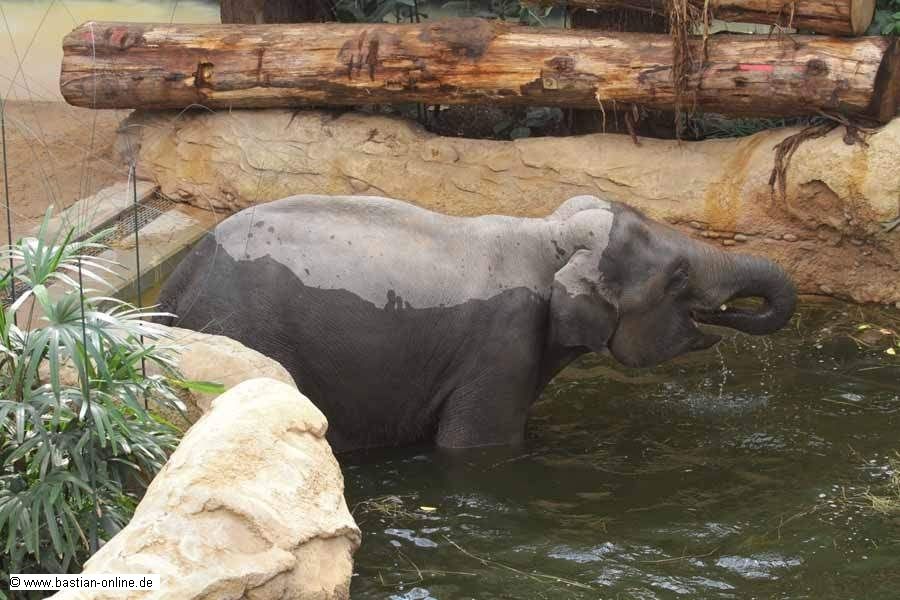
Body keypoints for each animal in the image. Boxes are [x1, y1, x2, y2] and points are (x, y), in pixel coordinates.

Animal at [156, 194, 796, 452]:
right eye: (680, 276)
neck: (546, 236)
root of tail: (180, 278)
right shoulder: (501, 345)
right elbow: (474, 446)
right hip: (245, 328)